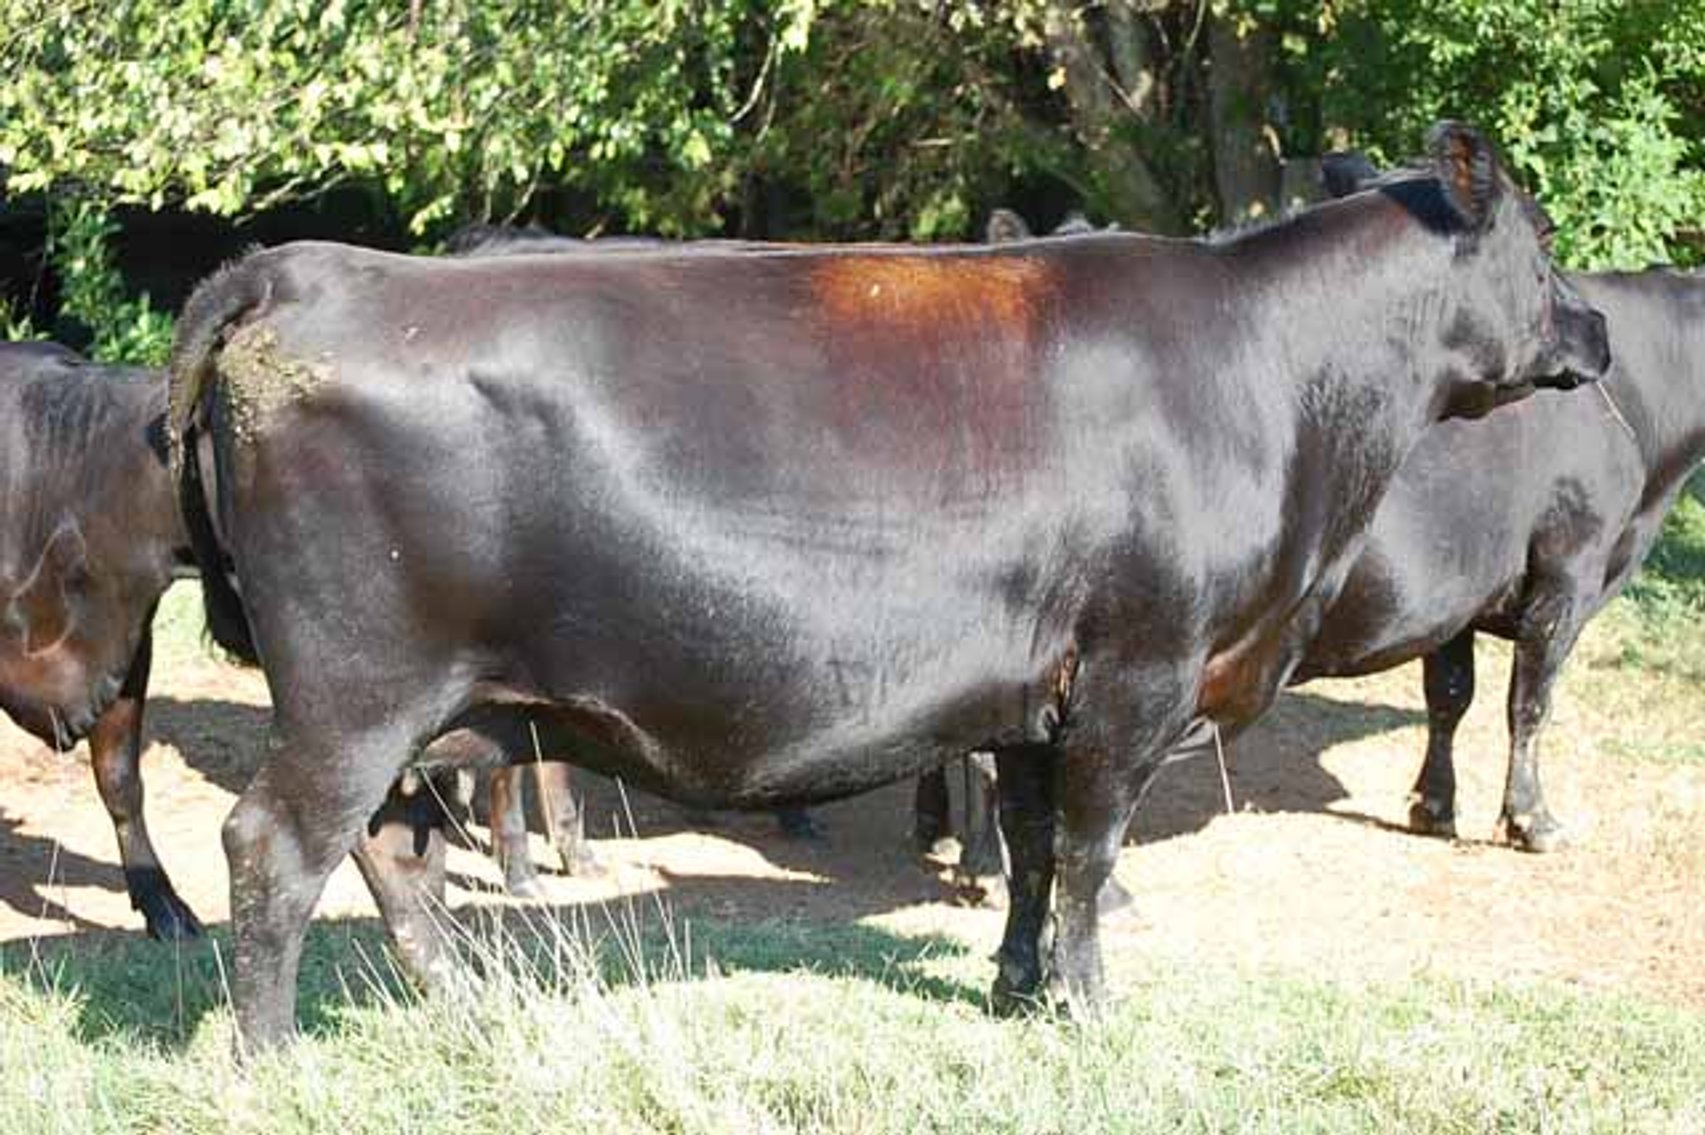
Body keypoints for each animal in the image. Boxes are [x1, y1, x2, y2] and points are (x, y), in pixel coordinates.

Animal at [169, 122, 1607, 1049]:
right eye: (1540, 245)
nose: (1594, 329)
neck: (1282, 380)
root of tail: (303, 268)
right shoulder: (1138, 669)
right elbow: (1090, 849)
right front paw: (1090, 1009)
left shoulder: (1041, 689)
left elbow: (1029, 847)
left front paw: (1017, 989)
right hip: (357, 689)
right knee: (278, 842)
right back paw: (270, 1056)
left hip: (417, 703)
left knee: (393, 845)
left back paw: (465, 1006)